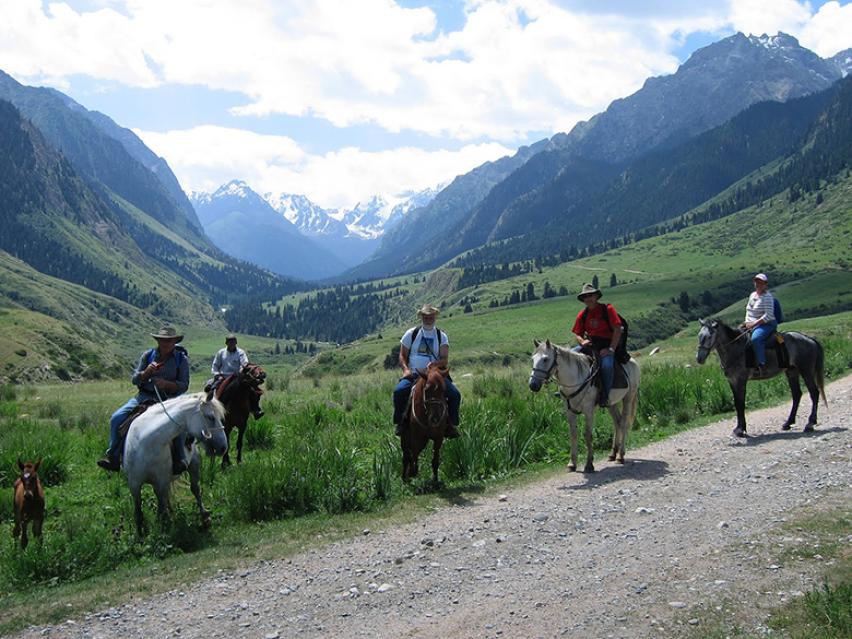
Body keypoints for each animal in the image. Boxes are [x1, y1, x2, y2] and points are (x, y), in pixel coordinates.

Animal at [123, 392, 228, 536]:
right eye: (211, 417)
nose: (224, 447)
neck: (146, 442)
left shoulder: (161, 482)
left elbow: (161, 512)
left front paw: (162, 531)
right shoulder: (134, 484)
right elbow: (138, 512)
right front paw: (140, 535)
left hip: (193, 465)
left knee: (195, 489)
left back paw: (204, 517)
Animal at [524, 342, 640, 472]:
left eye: (545, 359)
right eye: (532, 359)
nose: (533, 385)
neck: (575, 379)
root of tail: (633, 361)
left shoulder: (589, 411)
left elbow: (588, 435)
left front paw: (589, 464)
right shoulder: (569, 412)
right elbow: (573, 434)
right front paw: (572, 463)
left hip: (628, 398)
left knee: (624, 423)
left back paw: (620, 455)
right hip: (611, 404)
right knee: (617, 422)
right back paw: (613, 454)